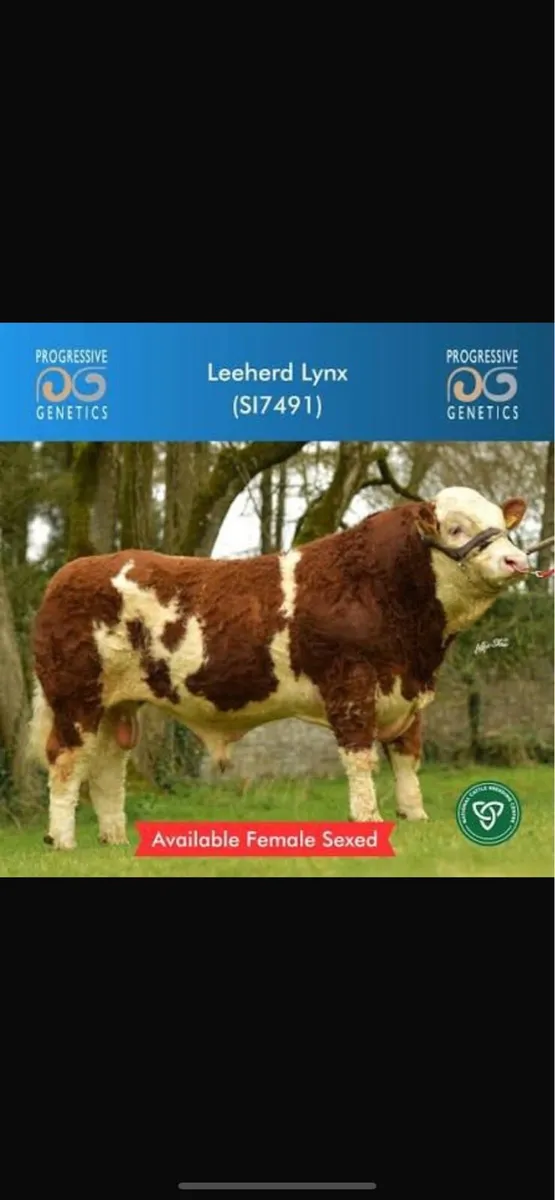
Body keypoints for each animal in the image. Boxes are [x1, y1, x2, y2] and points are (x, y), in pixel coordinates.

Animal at [28, 485, 529, 849]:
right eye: (457, 528)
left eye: (502, 525)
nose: (516, 560)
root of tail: (69, 573)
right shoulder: (350, 684)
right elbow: (360, 757)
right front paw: (368, 819)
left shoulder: (408, 692)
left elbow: (407, 757)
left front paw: (416, 817)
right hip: (75, 699)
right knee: (67, 763)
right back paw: (63, 841)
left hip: (117, 706)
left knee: (107, 768)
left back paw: (114, 840)